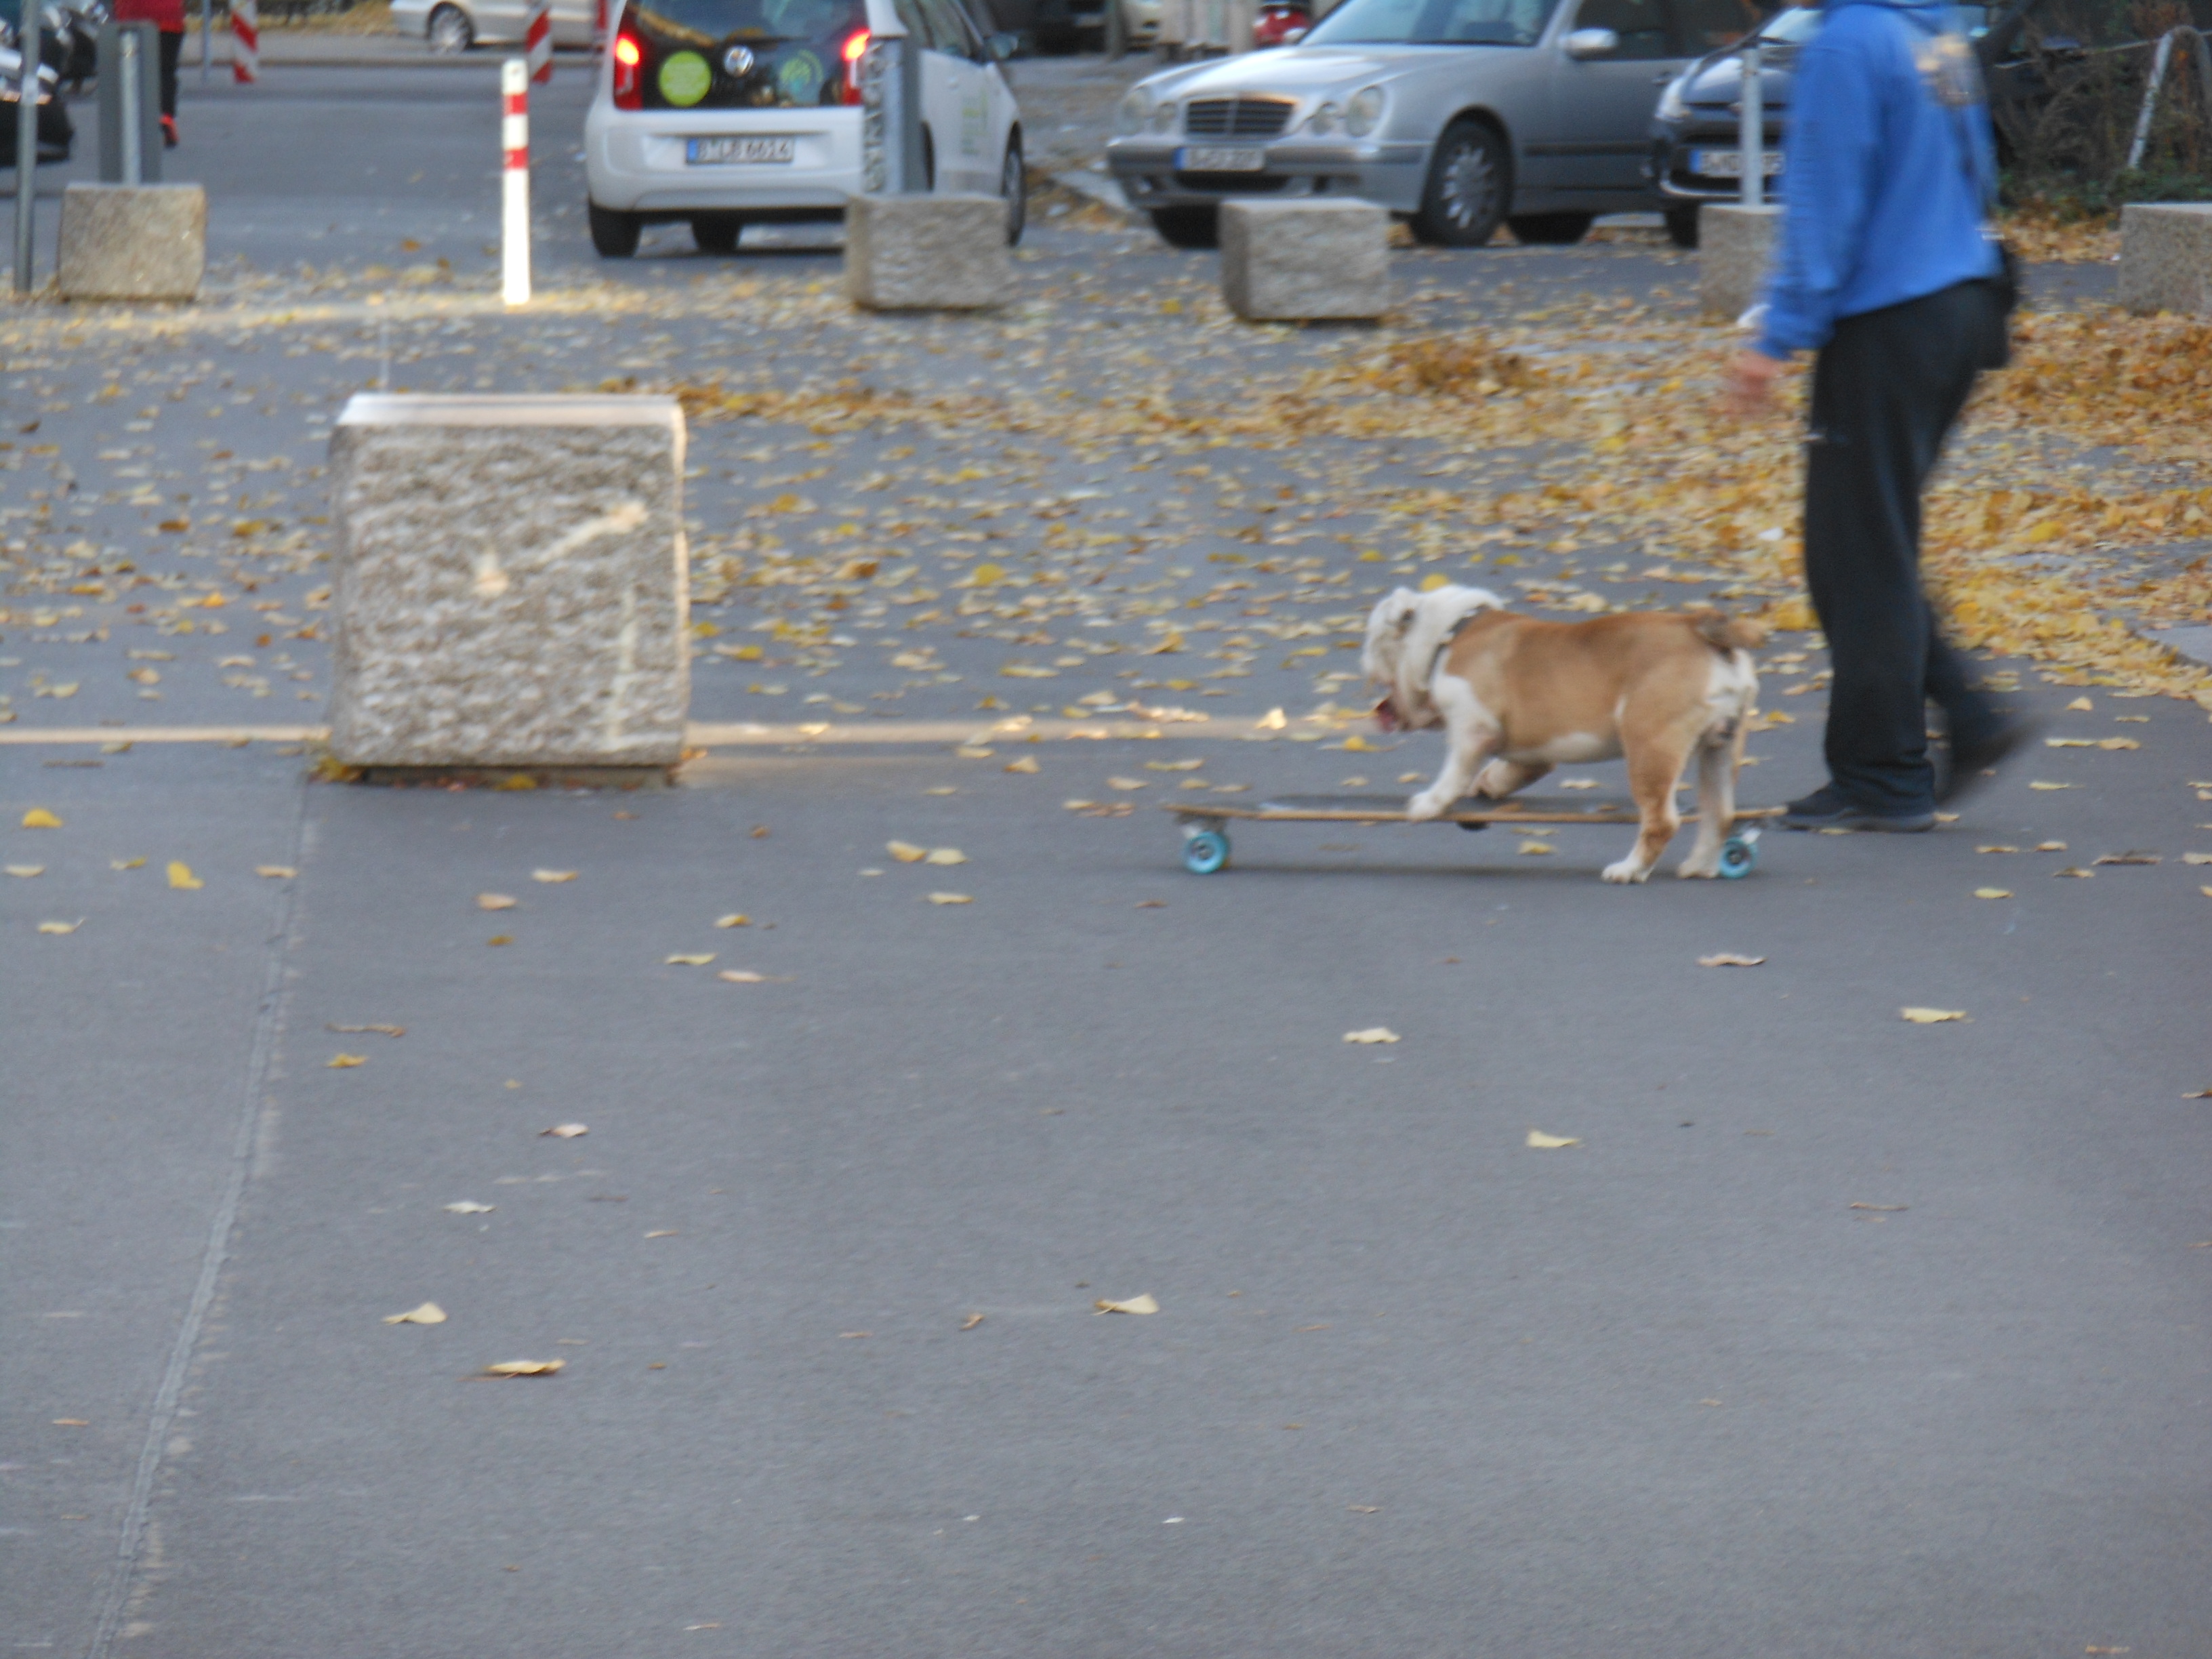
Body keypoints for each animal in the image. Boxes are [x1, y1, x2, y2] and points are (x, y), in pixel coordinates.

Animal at [1362, 592, 1761, 889]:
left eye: (1373, 635)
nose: (1362, 660)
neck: (1449, 634)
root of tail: (1700, 626)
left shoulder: (1472, 726)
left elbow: (1455, 770)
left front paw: (1430, 803)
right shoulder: (1529, 751)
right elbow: (1508, 768)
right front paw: (1488, 786)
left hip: (1650, 744)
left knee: (1661, 820)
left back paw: (1630, 870)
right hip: (1721, 747)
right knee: (1719, 811)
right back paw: (1701, 865)